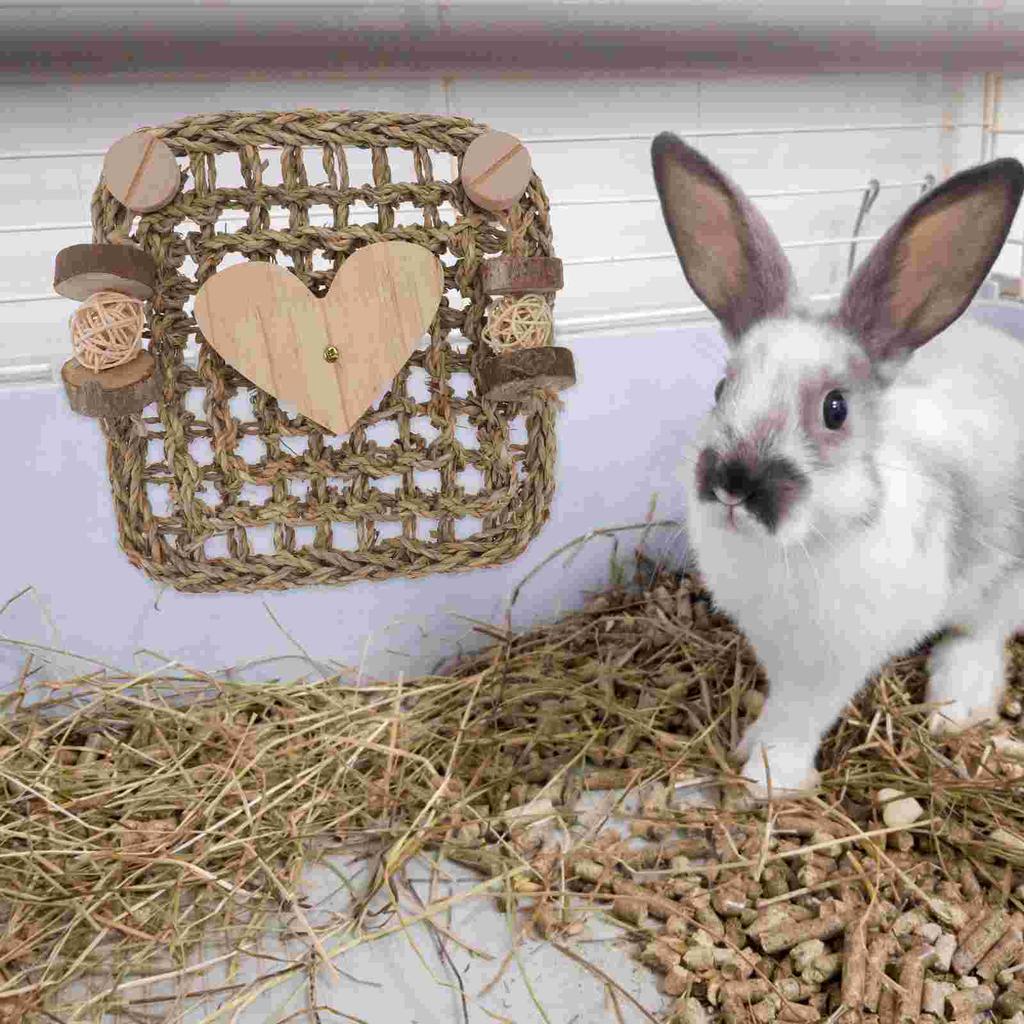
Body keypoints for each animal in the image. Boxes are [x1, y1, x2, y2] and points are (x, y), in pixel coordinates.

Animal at [651, 131, 1024, 799]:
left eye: (835, 409)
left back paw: (957, 702)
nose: (733, 484)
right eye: (722, 388)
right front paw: (751, 747)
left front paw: (769, 777)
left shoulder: (831, 666)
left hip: (1006, 580)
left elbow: (800, 718)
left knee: (983, 632)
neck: (798, 545)